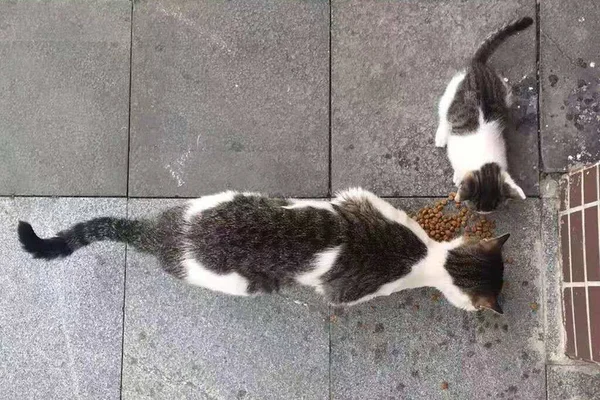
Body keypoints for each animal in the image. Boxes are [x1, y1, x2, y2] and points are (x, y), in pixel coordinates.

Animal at [434, 17, 532, 214]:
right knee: (444, 113)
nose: (482, 213)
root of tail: (478, 65)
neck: (482, 157)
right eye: (475, 206)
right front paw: (458, 177)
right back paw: (441, 135)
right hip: (451, 92)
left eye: (492, 208)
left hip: (504, 91)